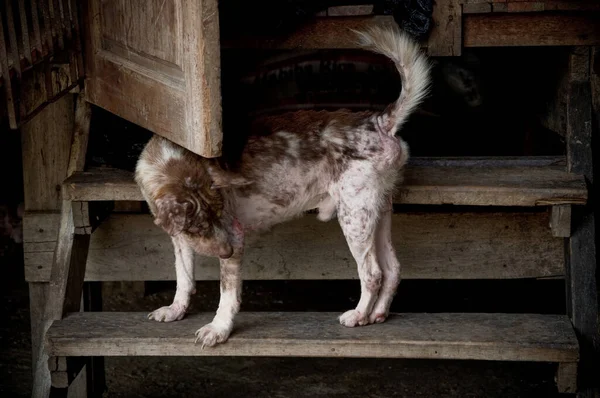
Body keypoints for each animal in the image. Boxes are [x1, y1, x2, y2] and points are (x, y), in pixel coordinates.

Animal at [135, 25, 432, 348]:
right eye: (198, 227)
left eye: (219, 214)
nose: (226, 251)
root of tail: (379, 121)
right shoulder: (180, 239)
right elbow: (184, 277)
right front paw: (175, 309)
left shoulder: (234, 235)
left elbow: (226, 294)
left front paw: (218, 329)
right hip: (377, 213)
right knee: (392, 269)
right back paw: (377, 314)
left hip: (355, 216)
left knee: (373, 273)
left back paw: (358, 315)